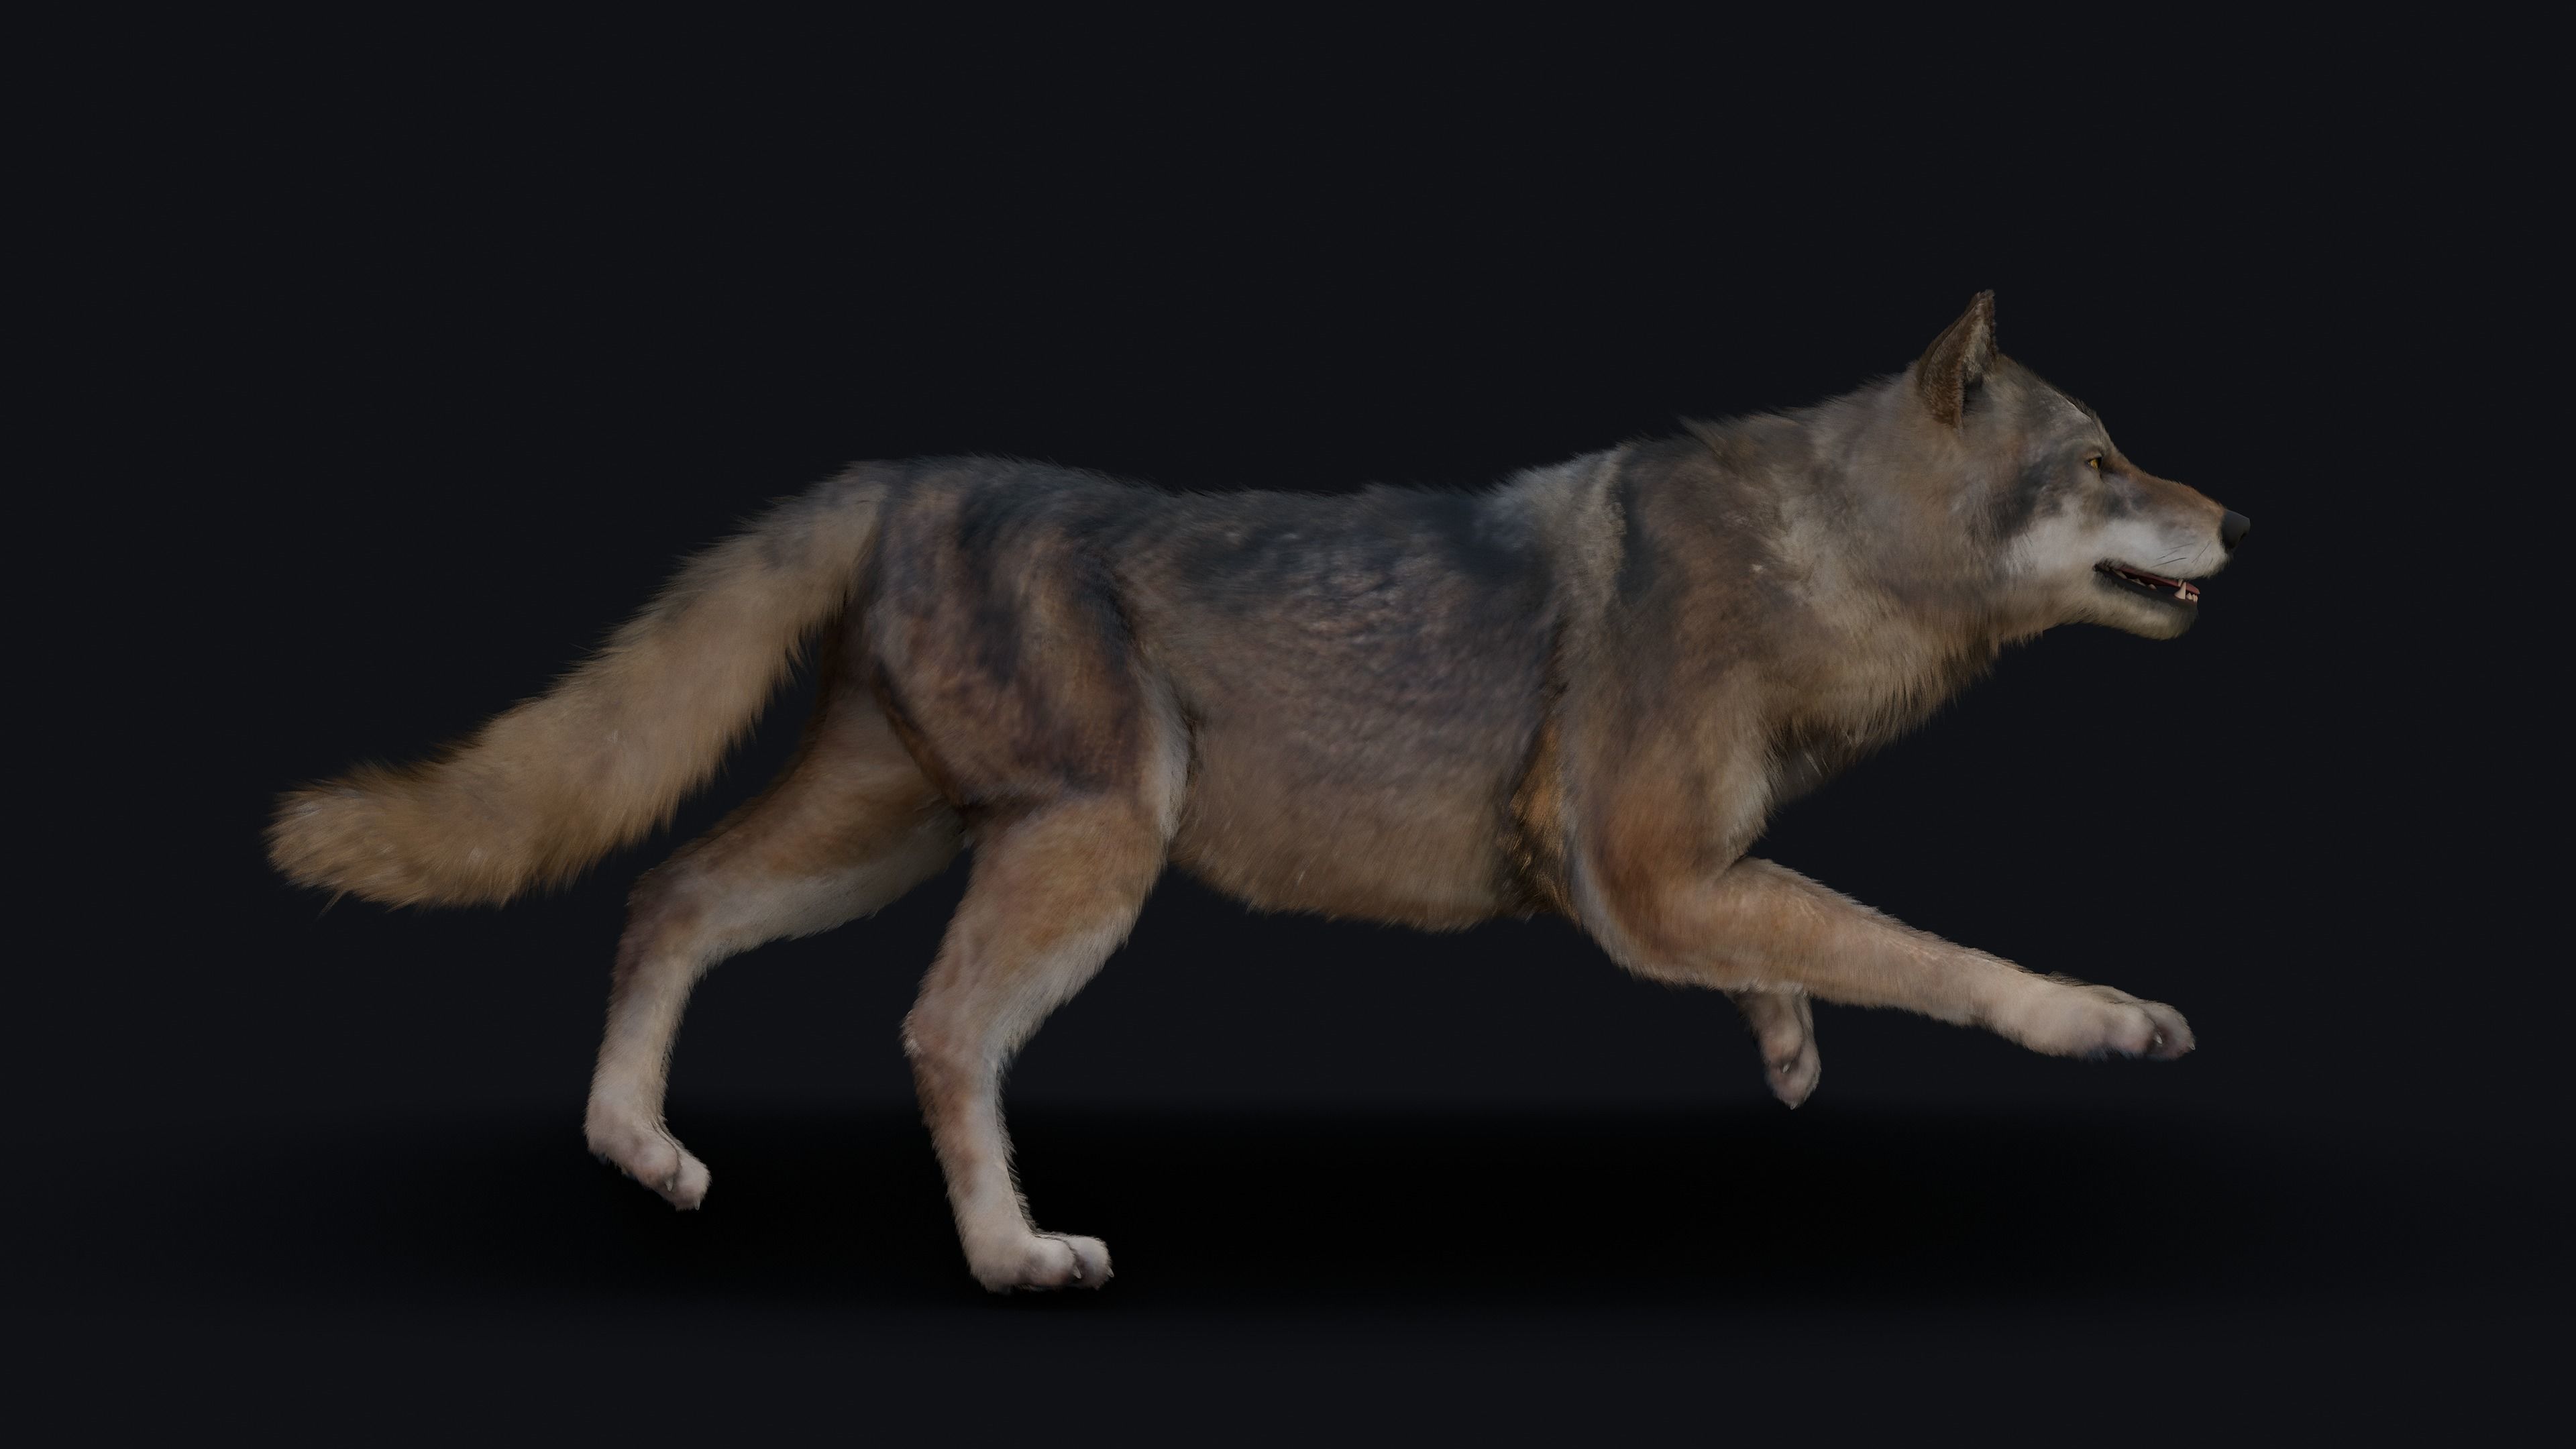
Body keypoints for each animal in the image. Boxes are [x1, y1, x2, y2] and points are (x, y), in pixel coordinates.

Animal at [271, 293, 2250, 1291]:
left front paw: (1780, 1044)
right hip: (1090, 844)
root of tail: (905, 473)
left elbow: (1812, 944)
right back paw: (1012, 1252)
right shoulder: (1645, 878)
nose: (2237, 517)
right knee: (932, 1030)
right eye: (2104, 459)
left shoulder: (1675, 878)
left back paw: (638, 1147)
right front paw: (2095, 1017)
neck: (1820, 555)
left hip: (888, 840)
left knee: (664, 893)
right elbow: (1924, 951)